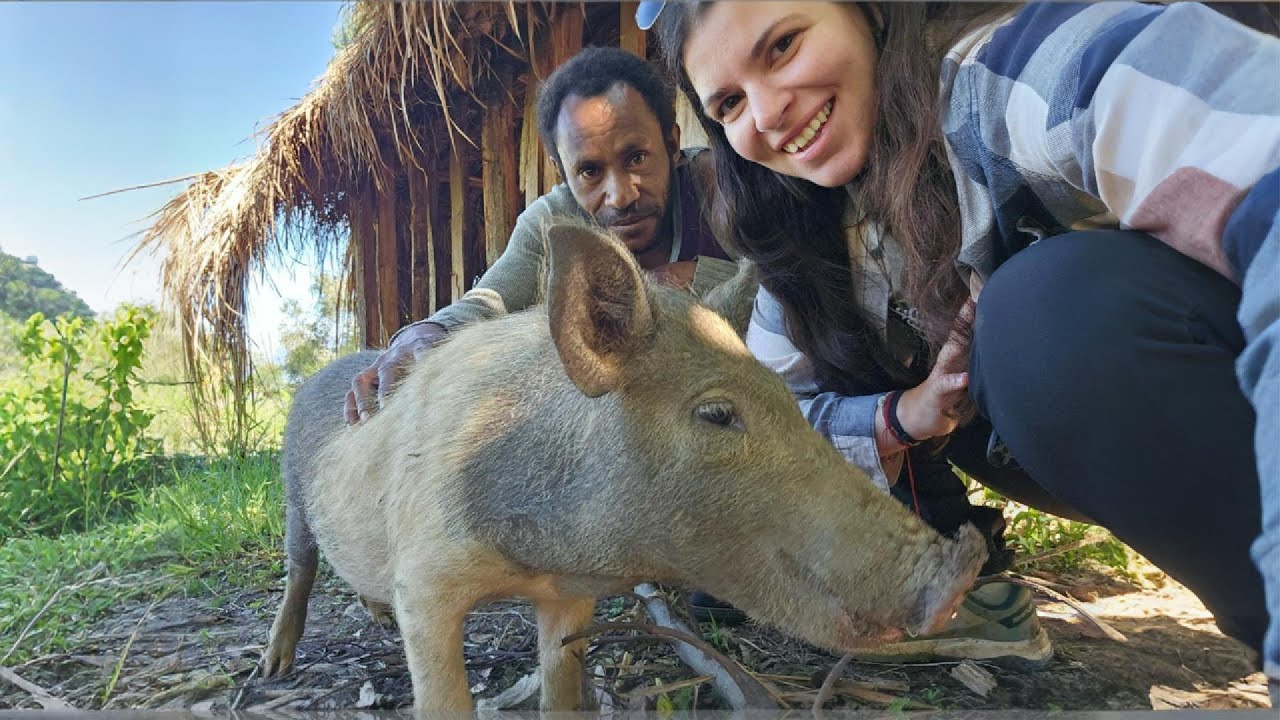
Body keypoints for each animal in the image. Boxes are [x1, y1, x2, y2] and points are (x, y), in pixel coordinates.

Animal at [260, 219, 987, 712]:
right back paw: (273, 670)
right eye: (717, 414)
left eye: (788, 401)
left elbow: (561, 684)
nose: (963, 566)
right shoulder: (426, 578)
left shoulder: (567, 599)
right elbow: (443, 694)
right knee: (299, 569)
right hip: (293, 496)